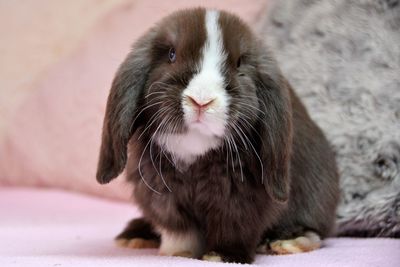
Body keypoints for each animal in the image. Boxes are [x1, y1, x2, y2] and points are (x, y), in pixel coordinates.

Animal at [95, 7, 340, 264]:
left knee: (315, 230)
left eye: (239, 63)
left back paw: (290, 241)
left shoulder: (242, 201)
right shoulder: (163, 198)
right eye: (171, 55)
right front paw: (179, 254)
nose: (201, 100)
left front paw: (221, 256)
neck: (194, 146)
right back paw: (135, 235)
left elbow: (234, 228)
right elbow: (179, 231)